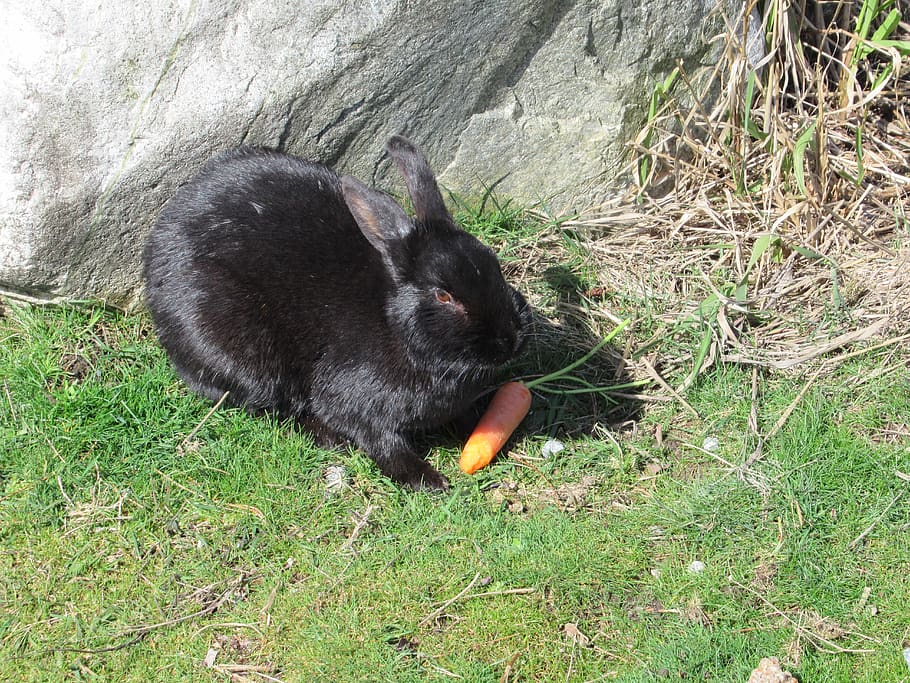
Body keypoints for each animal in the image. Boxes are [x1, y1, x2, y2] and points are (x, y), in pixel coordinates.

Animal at [139, 134, 532, 488]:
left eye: (493, 264)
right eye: (443, 295)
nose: (511, 340)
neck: (398, 329)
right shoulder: (359, 403)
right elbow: (381, 442)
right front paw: (427, 480)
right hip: (244, 356)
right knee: (274, 406)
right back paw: (331, 439)